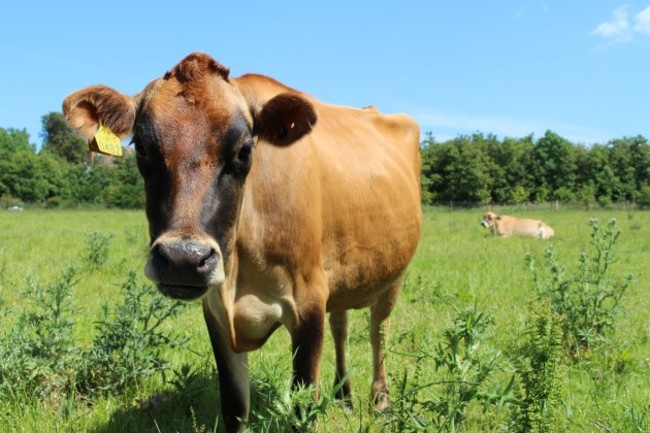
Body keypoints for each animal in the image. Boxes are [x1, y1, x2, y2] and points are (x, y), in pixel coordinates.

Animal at [63, 53, 422, 432]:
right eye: (142, 148)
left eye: (244, 150)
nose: (183, 259)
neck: (240, 270)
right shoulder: (217, 312)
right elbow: (234, 406)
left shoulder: (309, 302)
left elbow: (302, 407)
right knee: (342, 324)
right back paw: (344, 396)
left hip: (395, 275)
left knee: (378, 330)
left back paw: (380, 400)